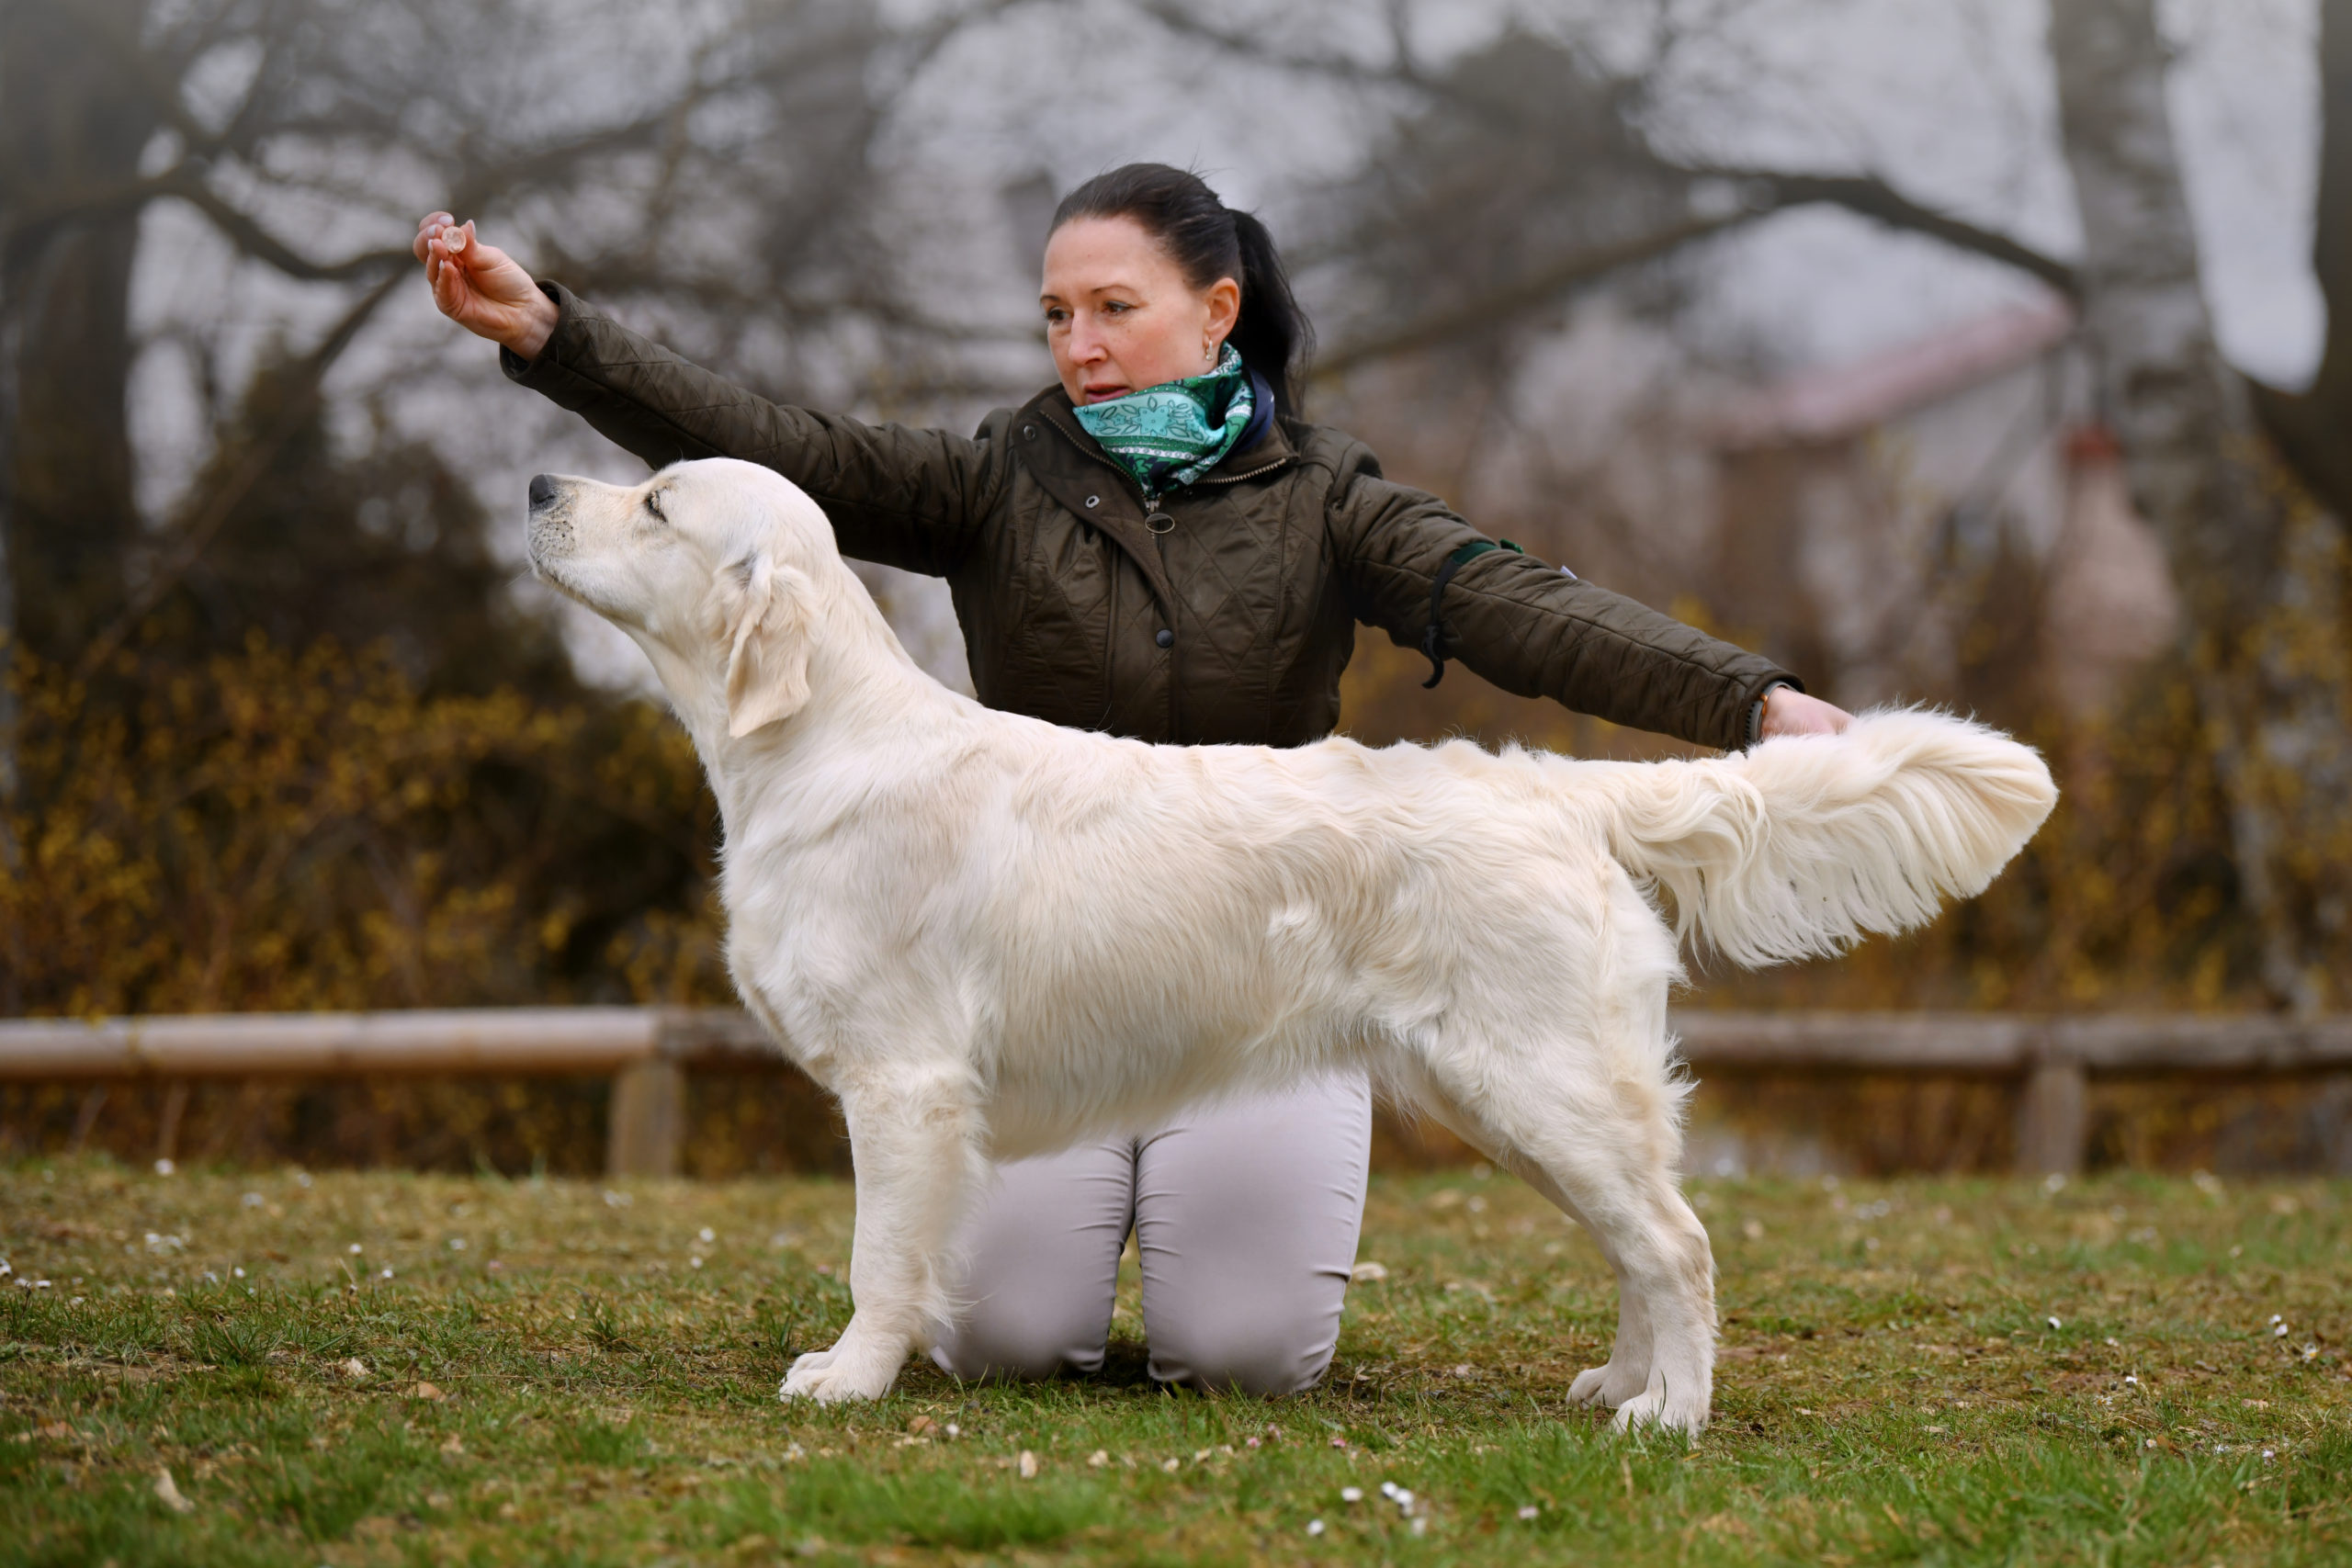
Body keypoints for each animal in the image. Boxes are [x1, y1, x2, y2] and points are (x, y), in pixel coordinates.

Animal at [524, 453, 2051, 1438]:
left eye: (656, 500)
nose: (537, 485)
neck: (813, 739)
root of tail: (1558, 787)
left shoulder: (905, 1083)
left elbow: (876, 1254)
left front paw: (847, 1378)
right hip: (1528, 1098)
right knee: (1641, 1239)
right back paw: (1621, 1384)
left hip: (1537, 1078)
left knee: (1676, 1242)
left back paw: (1671, 1410)